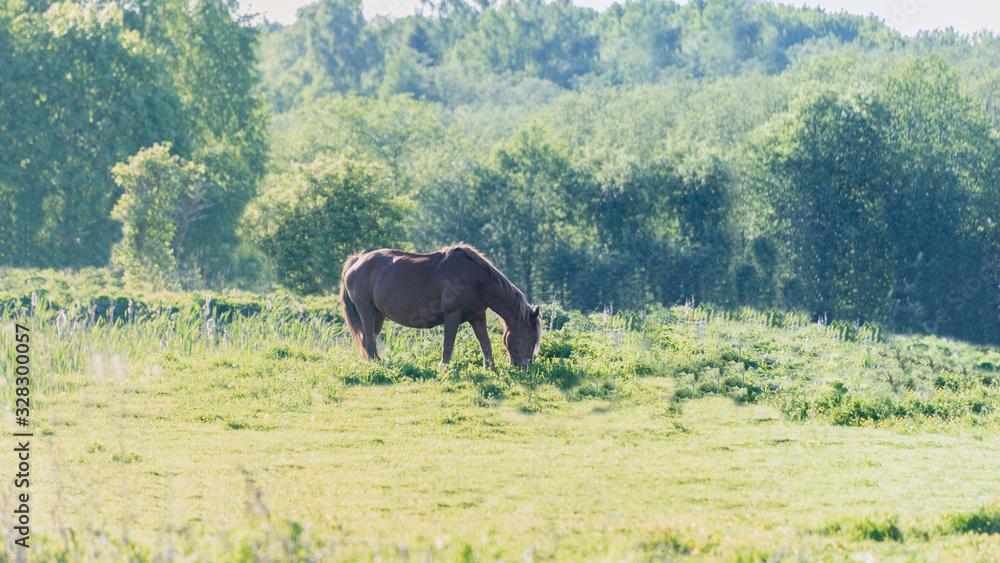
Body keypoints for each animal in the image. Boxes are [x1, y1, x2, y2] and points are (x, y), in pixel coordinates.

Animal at [339, 244, 542, 369]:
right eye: (533, 338)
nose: (524, 368)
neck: (476, 279)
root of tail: (358, 260)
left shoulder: (477, 317)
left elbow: (485, 343)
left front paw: (490, 369)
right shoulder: (452, 316)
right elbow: (448, 345)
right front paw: (443, 367)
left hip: (378, 314)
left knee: (367, 340)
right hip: (366, 310)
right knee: (368, 340)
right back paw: (378, 365)